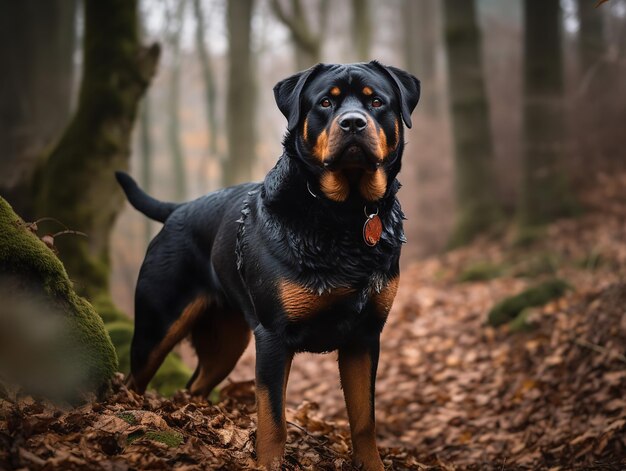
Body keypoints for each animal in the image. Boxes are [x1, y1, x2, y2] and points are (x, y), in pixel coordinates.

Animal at [117, 60, 420, 470]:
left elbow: (364, 421)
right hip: (157, 325)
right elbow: (273, 421)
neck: (343, 215)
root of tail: (178, 209)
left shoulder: (365, 337)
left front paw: (372, 464)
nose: (353, 122)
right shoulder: (274, 336)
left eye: (376, 102)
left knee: (194, 386)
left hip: (227, 342)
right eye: (326, 102)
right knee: (133, 381)